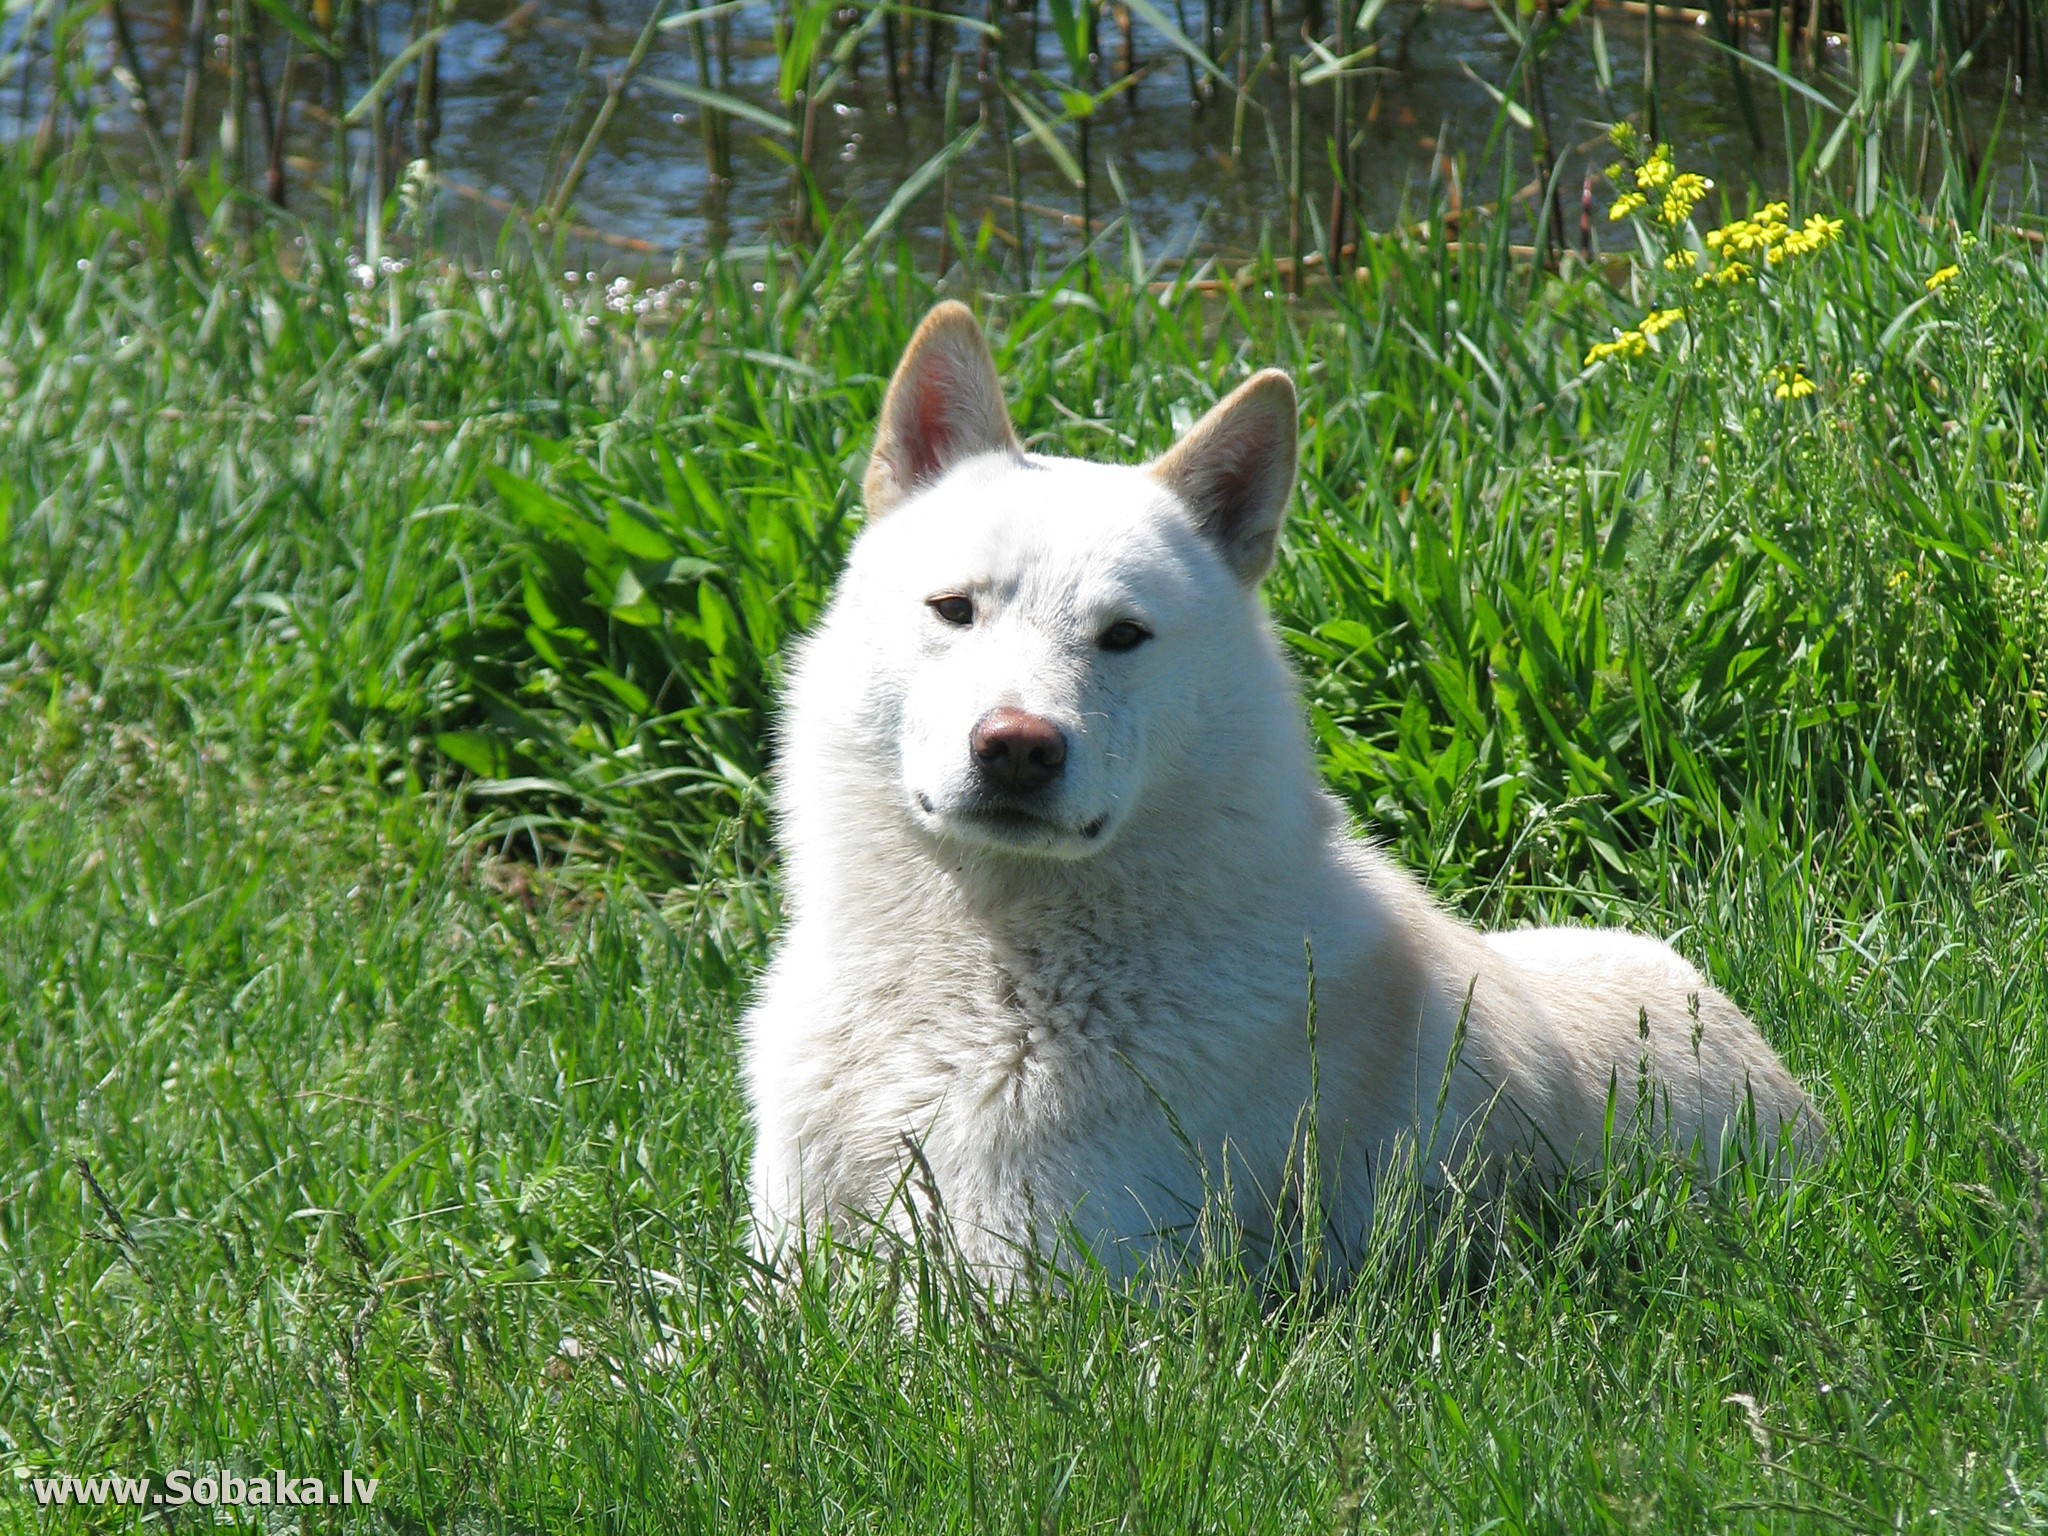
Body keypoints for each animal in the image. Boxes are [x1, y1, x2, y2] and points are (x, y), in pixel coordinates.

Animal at [741, 301, 1826, 1286]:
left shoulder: (1032, 1294)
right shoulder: (781, 1260)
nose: (1016, 748)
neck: (970, 981)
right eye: (953, 610)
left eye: (1123, 636)